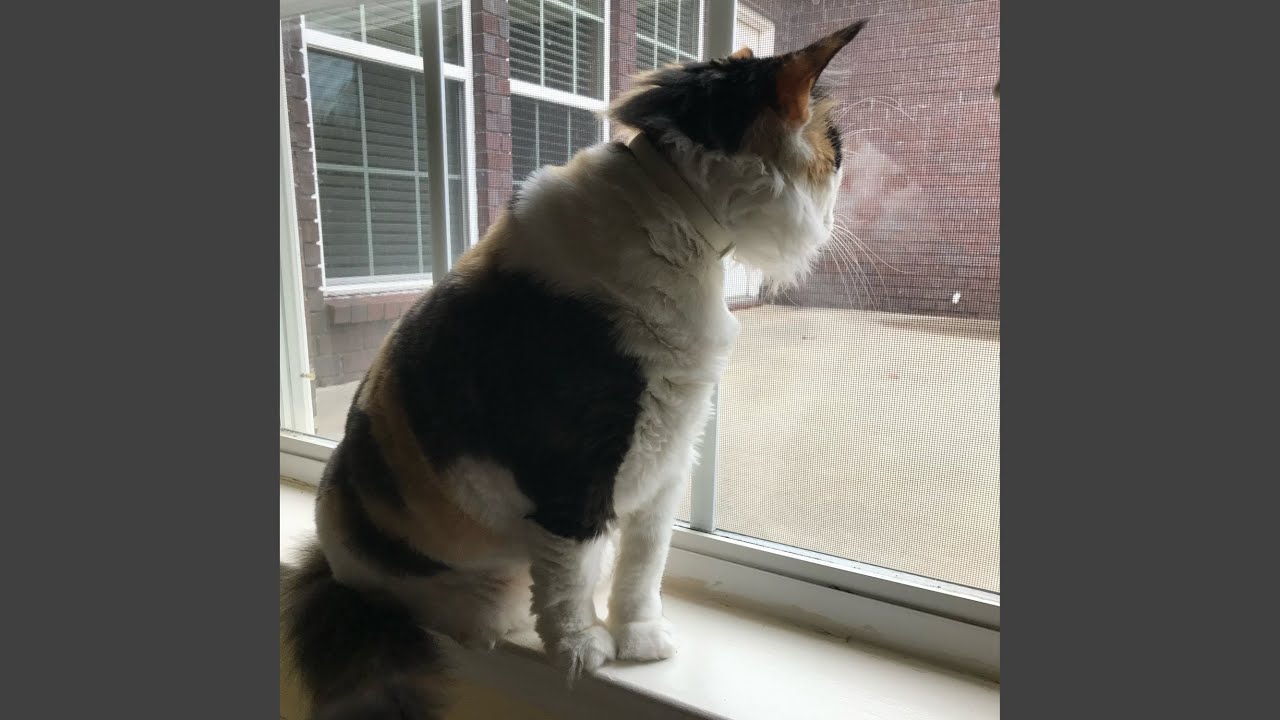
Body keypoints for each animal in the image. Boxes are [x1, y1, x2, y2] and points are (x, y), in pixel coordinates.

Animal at [281, 19, 868, 720]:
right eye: (836, 151)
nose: (840, 209)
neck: (673, 220)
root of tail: (333, 568)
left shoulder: (667, 456)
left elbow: (643, 565)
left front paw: (640, 640)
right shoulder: (573, 467)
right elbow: (572, 573)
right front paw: (583, 650)